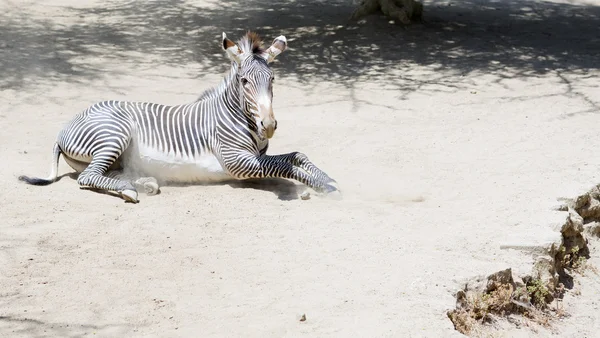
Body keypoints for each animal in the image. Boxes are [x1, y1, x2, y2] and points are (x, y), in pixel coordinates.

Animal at [17, 31, 338, 203]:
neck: (235, 116)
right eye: (245, 81)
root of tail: (65, 127)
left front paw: (325, 179)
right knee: (88, 177)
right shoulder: (237, 162)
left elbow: (295, 156)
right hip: (114, 133)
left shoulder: (255, 159)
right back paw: (129, 190)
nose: (268, 126)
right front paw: (323, 187)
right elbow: (285, 165)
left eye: (272, 79)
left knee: (104, 173)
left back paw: (144, 183)